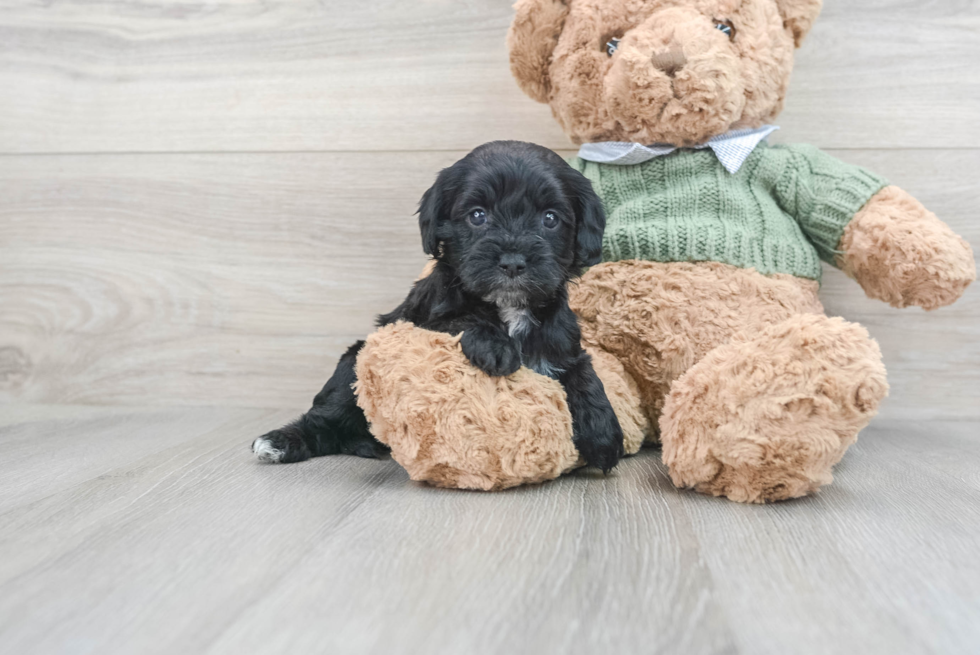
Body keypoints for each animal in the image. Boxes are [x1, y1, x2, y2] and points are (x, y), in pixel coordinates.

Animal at [251, 142, 620, 472]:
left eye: (550, 219)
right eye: (477, 216)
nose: (513, 262)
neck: (510, 306)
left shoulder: (563, 344)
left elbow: (584, 373)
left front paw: (604, 433)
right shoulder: (423, 322)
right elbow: (461, 318)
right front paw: (496, 346)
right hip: (352, 366)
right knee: (326, 418)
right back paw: (281, 442)